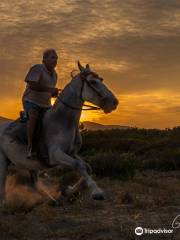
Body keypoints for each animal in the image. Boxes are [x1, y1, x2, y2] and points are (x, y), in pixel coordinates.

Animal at [0, 61, 119, 202]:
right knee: (3, 184)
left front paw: (68, 190)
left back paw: (51, 200)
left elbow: (87, 167)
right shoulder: (56, 154)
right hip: (3, 160)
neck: (63, 121)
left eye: (101, 79)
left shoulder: (71, 153)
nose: (114, 102)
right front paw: (96, 191)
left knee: (34, 183)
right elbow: (79, 165)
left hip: (30, 164)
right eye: (93, 82)